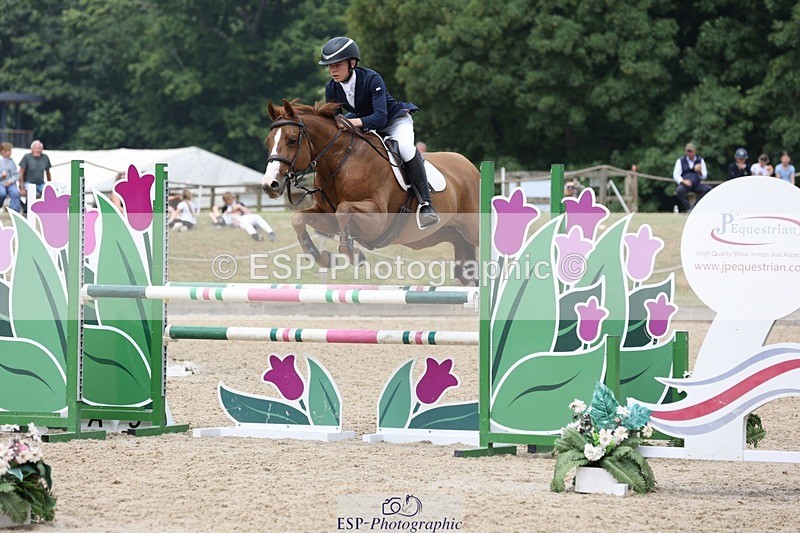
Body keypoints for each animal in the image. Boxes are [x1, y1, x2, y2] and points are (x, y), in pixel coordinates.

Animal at [262, 99, 480, 285]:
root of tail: (472, 167)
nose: (269, 185)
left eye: (291, 140)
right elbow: (298, 219)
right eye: (268, 141)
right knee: (464, 261)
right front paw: (324, 258)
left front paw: (354, 255)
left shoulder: (378, 220)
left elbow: (343, 210)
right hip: (444, 235)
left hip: (471, 227)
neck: (341, 161)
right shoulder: (327, 217)